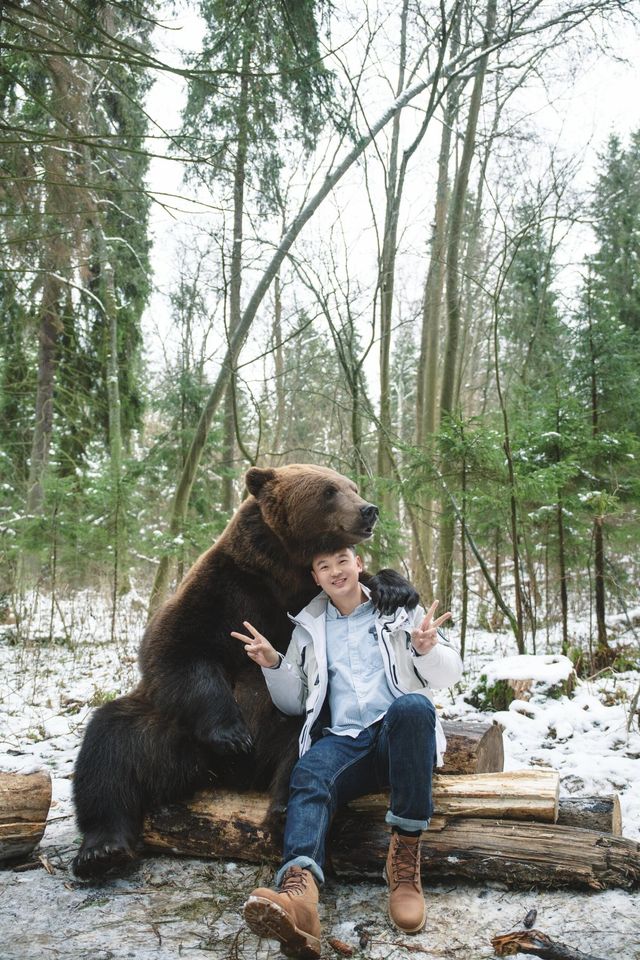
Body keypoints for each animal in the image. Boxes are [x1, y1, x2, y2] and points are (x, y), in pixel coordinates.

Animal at [74, 464, 416, 876]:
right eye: (330, 491)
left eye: (351, 485)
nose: (369, 510)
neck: (284, 570)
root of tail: (226, 774)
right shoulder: (226, 586)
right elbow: (176, 649)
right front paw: (233, 734)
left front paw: (394, 588)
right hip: (169, 730)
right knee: (111, 745)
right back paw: (102, 850)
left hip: (292, 724)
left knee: (306, 741)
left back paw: (283, 808)